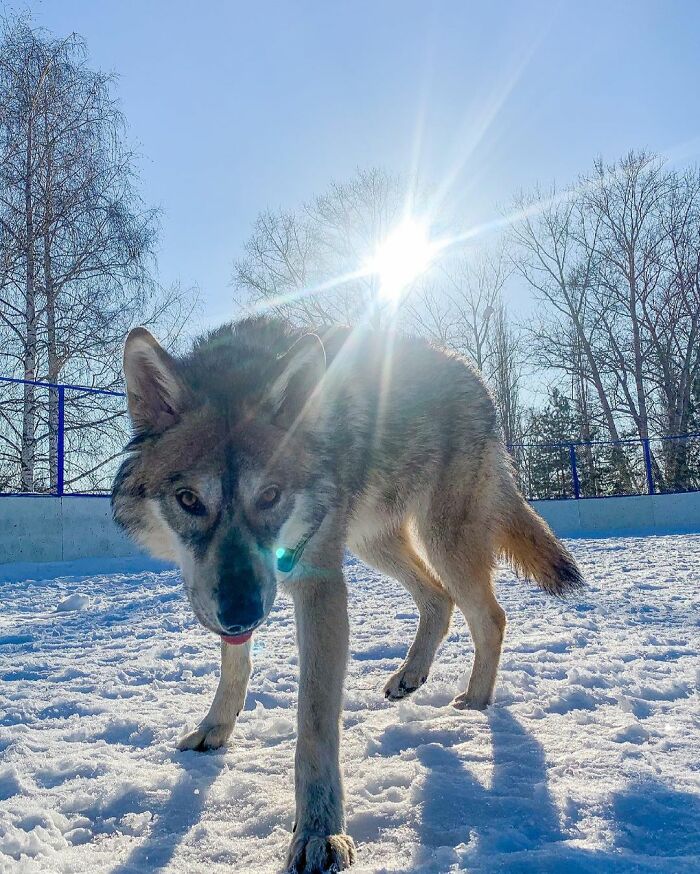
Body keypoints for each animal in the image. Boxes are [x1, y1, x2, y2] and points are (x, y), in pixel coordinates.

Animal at [112, 316, 582, 873]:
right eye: (188, 500)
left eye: (269, 496)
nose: (242, 613)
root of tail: (472, 374)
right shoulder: (230, 590)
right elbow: (235, 665)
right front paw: (216, 727)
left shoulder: (319, 583)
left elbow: (314, 723)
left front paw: (319, 832)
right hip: (372, 541)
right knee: (438, 599)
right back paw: (409, 677)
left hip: (439, 539)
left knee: (490, 615)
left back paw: (474, 701)